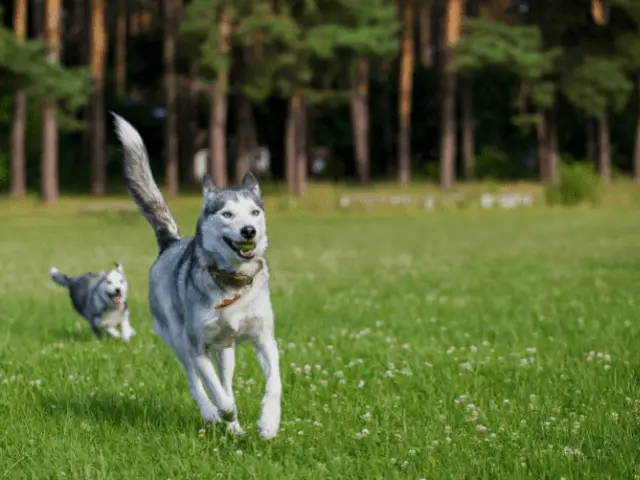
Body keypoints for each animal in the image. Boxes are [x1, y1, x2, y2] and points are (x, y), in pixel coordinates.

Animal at [113, 112, 282, 438]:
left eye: (255, 212)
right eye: (227, 214)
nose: (249, 231)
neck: (232, 283)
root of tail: (171, 243)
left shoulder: (265, 339)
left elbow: (274, 383)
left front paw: (268, 422)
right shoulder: (197, 346)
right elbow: (218, 394)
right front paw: (223, 414)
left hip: (226, 351)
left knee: (225, 378)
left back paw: (236, 429)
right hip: (178, 340)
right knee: (197, 383)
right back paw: (212, 414)